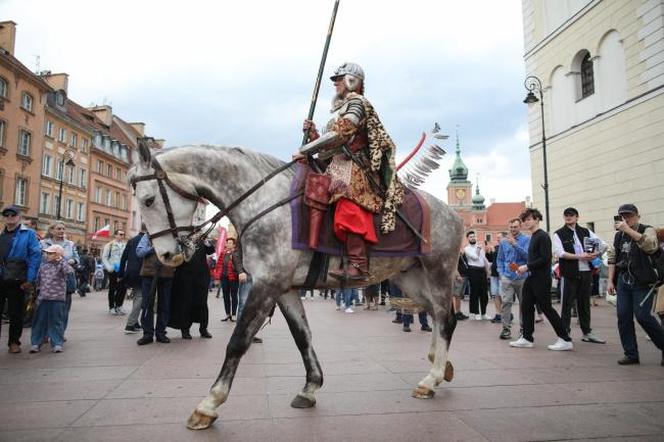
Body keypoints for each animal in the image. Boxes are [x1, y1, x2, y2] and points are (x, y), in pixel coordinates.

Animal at [128, 143, 462, 430]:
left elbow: (238, 342)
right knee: (435, 315)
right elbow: (302, 336)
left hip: (438, 270)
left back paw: (431, 379)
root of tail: (453, 213)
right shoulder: (285, 288)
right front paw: (310, 386)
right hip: (409, 278)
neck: (262, 202)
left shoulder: (267, 284)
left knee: (446, 317)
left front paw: (209, 404)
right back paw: (441, 365)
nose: (166, 255)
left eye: (148, 200)